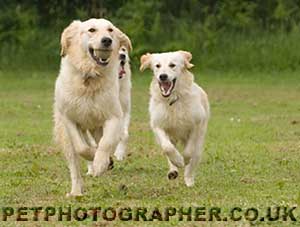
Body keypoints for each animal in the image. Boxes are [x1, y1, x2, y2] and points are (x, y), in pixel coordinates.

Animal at [53, 18, 132, 197]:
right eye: (91, 30)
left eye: (110, 30)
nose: (107, 40)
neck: (90, 77)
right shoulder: (69, 119)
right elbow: (81, 147)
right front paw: (92, 156)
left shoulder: (114, 117)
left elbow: (106, 144)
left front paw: (101, 163)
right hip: (66, 136)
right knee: (75, 166)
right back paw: (76, 192)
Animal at [140, 51, 209, 186]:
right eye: (157, 66)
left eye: (172, 65)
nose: (163, 76)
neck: (173, 100)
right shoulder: (158, 125)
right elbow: (167, 148)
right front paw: (177, 161)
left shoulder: (196, 125)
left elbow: (189, 151)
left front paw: (184, 160)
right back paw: (173, 171)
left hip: (200, 142)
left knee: (193, 161)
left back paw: (189, 180)